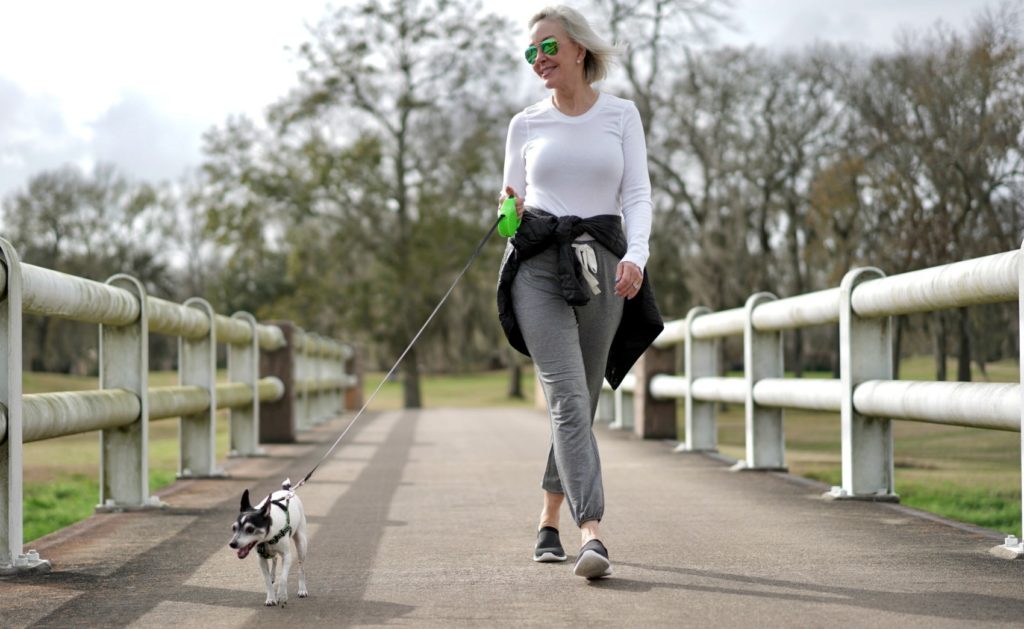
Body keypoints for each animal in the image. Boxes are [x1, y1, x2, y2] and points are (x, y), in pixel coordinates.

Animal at [230, 481, 309, 610]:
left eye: (250, 529)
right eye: (234, 528)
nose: (232, 544)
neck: (268, 536)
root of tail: (287, 490)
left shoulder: (287, 556)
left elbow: (283, 578)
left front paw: (281, 595)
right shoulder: (261, 559)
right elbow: (267, 580)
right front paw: (271, 598)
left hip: (301, 544)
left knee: (301, 568)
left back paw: (302, 589)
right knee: (275, 558)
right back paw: (272, 576)